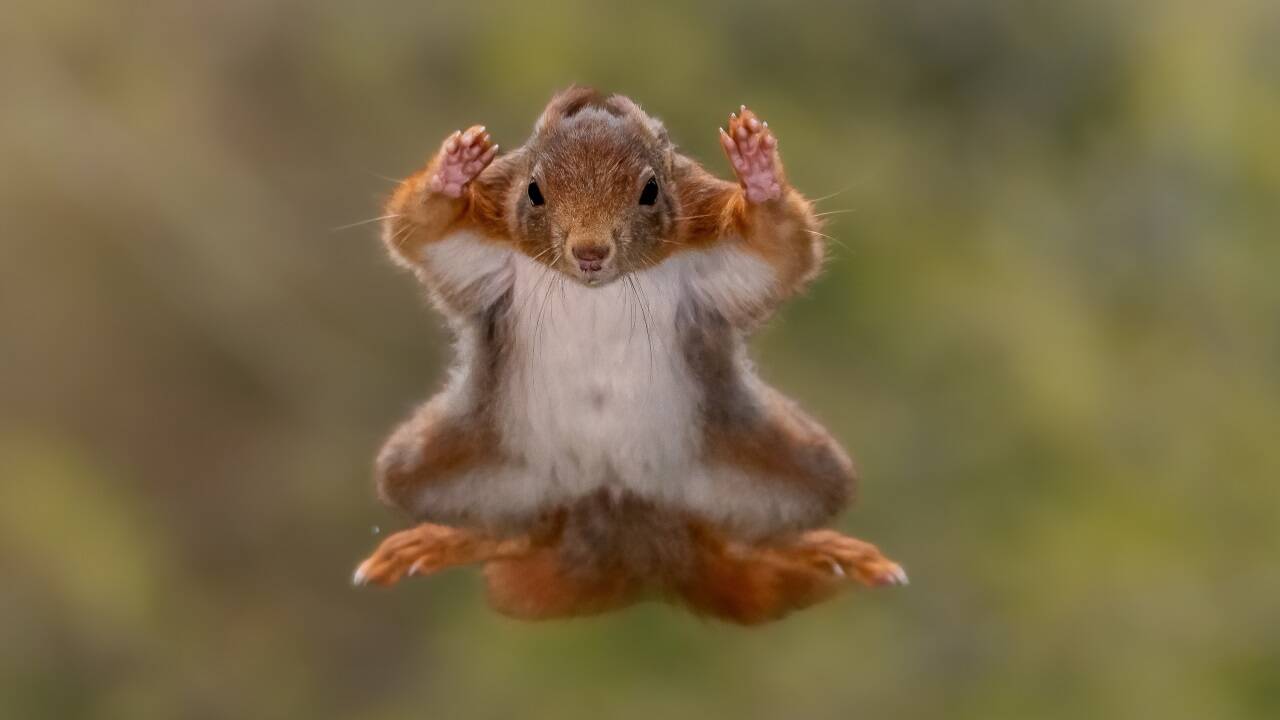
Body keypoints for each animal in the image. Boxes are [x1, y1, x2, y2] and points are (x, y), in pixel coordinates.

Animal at [352, 87, 905, 625]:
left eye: (651, 190)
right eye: (534, 190)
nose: (590, 253)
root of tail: (621, 521)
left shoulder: (710, 247)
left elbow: (780, 250)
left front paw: (760, 174)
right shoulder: (486, 243)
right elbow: (420, 233)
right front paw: (451, 173)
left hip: (783, 463)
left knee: (741, 538)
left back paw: (817, 549)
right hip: (447, 463)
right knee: (517, 531)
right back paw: (449, 539)